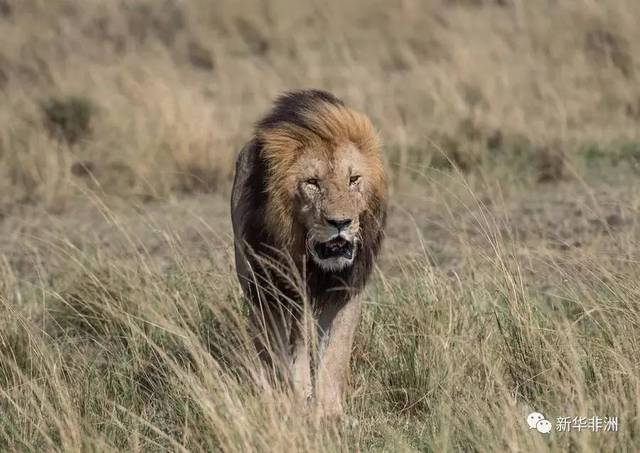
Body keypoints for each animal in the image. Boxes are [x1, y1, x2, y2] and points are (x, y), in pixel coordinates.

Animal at [232, 88, 388, 416]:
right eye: (312, 183)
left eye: (353, 180)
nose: (341, 223)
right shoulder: (277, 290)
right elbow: (288, 350)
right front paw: (293, 399)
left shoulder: (347, 289)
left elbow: (336, 352)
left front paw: (328, 412)